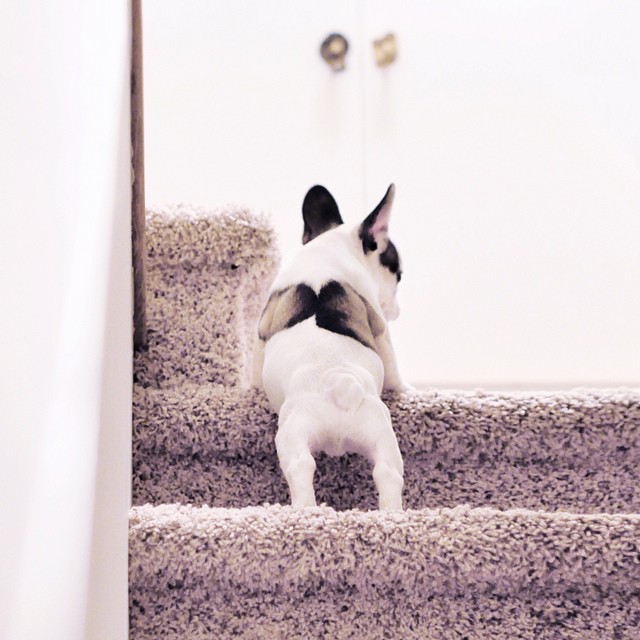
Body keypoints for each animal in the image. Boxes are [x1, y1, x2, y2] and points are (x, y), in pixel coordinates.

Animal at [251, 184, 404, 510]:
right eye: (398, 274)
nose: (397, 309)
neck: (330, 246)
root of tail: (339, 382)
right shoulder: (380, 325)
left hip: (294, 432)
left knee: (300, 467)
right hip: (378, 433)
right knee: (386, 473)